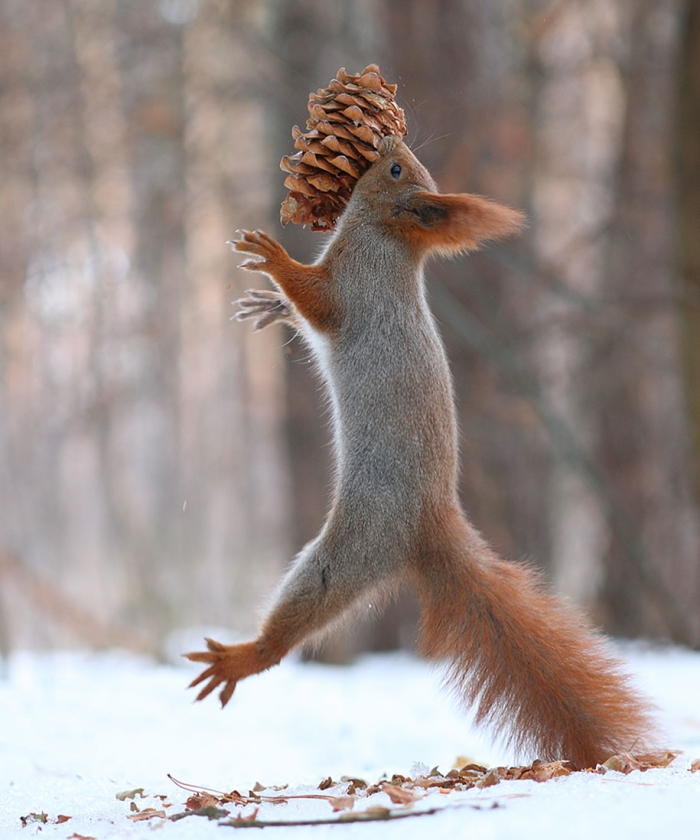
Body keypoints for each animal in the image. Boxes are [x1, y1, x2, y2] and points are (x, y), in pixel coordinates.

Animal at [186, 135, 657, 770]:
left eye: (394, 169)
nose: (389, 139)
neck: (385, 241)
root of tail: (434, 524)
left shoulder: (355, 290)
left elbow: (316, 299)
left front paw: (273, 258)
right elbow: (301, 312)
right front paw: (269, 305)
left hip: (353, 548)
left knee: (304, 609)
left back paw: (243, 655)